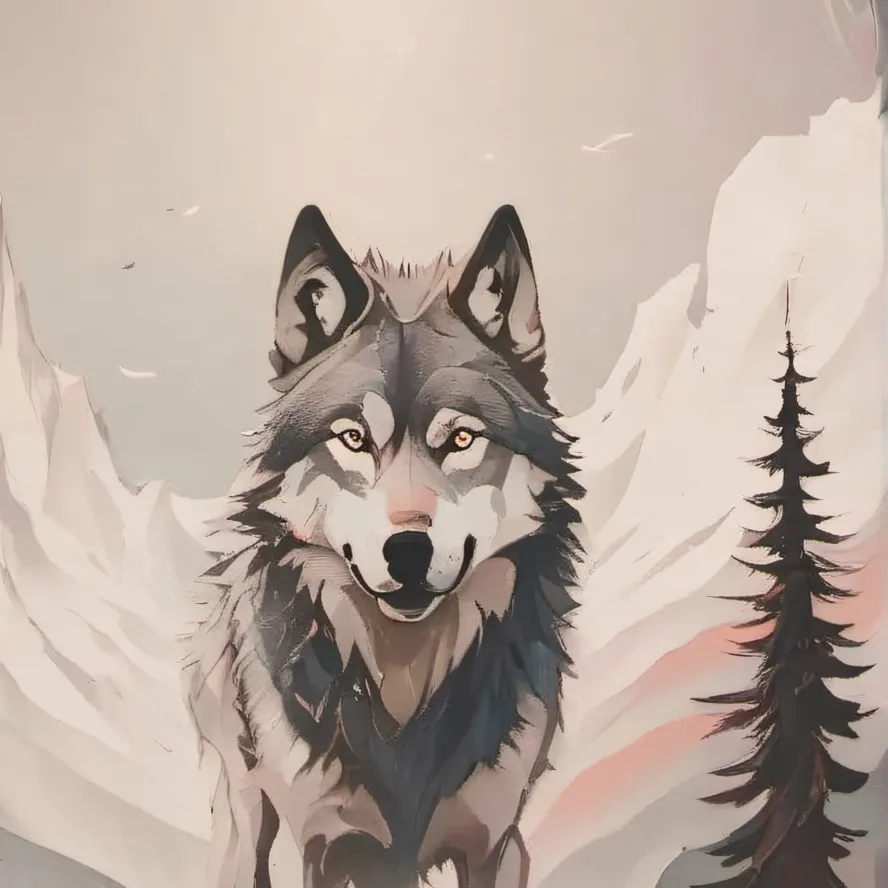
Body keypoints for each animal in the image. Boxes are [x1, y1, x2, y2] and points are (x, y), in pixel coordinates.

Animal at [185, 204, 586, 888]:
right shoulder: (319, 848)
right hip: (248, 814)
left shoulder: (496, 844)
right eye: (352, 438)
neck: (403, 681)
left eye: (461, 439)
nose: (407, 551)